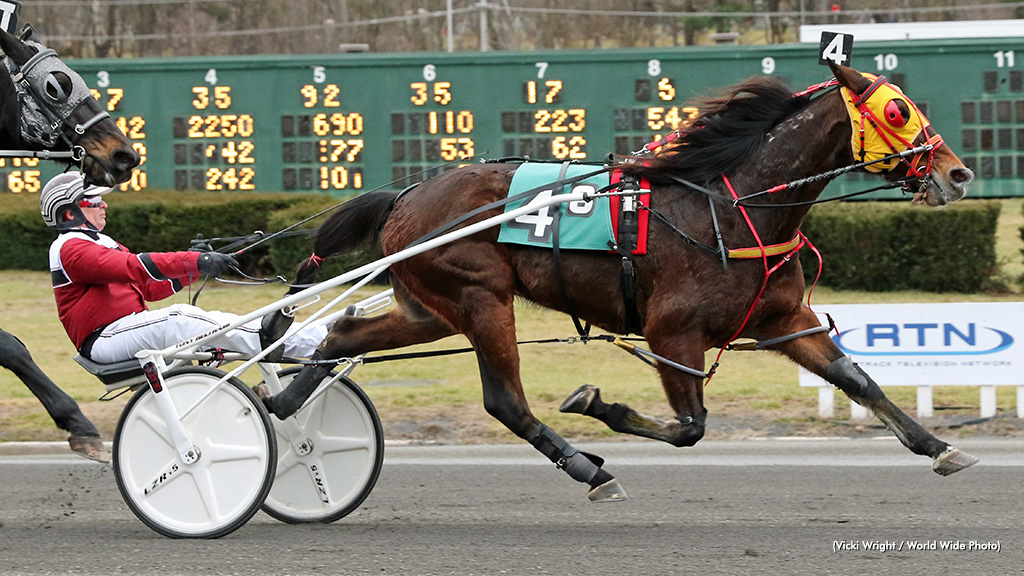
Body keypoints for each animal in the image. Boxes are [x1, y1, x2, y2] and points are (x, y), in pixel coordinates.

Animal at [263, 62, 977, 501]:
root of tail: (408, 195)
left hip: (430, 306)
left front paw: (939, 445)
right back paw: (587, 469)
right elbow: (690, 427)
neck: (729, 205)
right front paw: (595, 405)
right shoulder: (672, 332)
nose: (958, 173)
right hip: (480, 297)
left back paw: (285, 404)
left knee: (341, 332)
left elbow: (857, 379)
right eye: (897, 111)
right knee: (505, 402)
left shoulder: (782, 319)